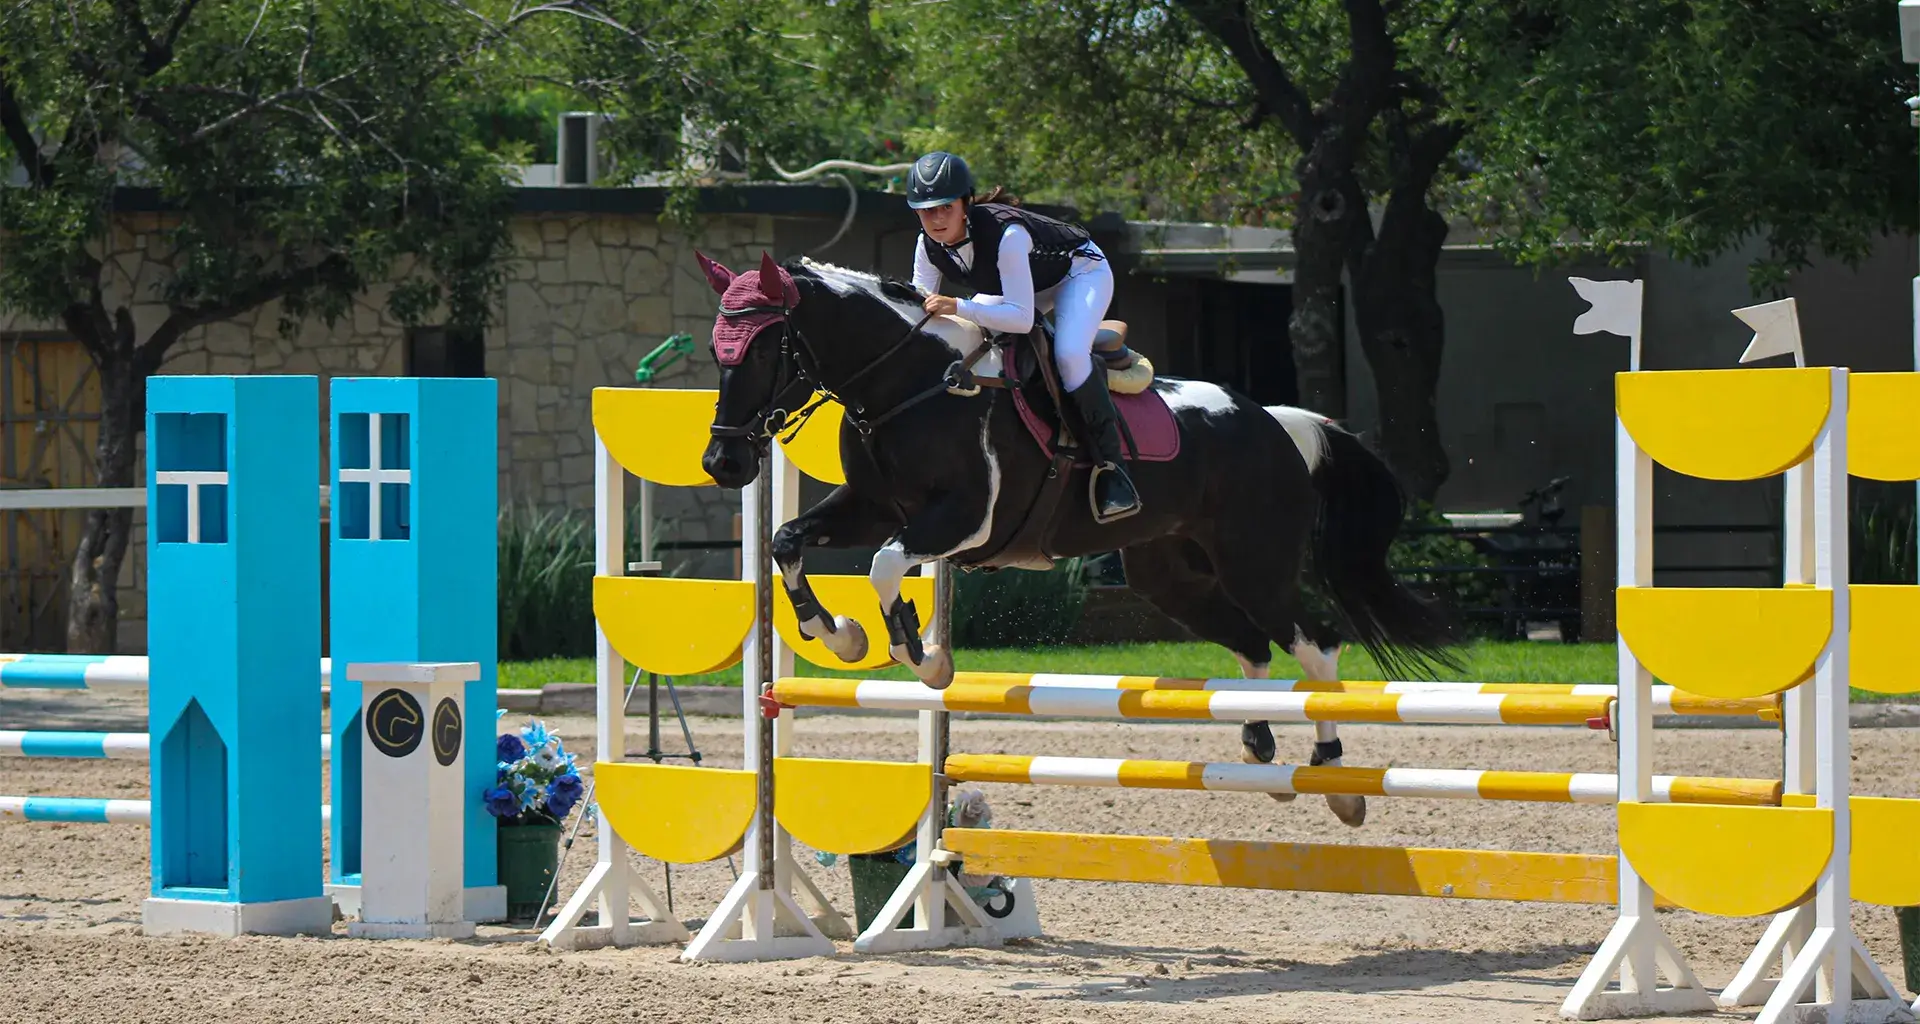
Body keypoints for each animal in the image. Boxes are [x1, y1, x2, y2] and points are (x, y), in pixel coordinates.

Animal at [695, 251, 1460, 826]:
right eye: (715, 349)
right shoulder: (872, 506)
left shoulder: (964, 520)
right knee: (1252, 644)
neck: (910, 383)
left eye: (764, 349)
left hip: (1255, 563)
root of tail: (1278, 422)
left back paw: (1335, 780)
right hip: (1168, 576)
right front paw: (841, 634)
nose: (723, 463)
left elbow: (885, 567)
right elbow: (788, 540)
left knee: (1315, 643)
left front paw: (924, 658)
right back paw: (1258, 745)